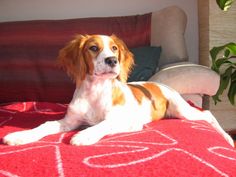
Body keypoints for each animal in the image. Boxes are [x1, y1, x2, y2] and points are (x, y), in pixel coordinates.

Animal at [2, 34, 234, 147]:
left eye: (114, 48)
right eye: (93, 48)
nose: (112, 60)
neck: (95, 92)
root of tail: (162, 84)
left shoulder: (127, 122)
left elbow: (103, 124)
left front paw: (84, 136)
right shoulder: (69, 121)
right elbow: (45, 125)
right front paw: (20, 136)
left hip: (182, 110)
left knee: (207, 114)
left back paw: (228, 139)